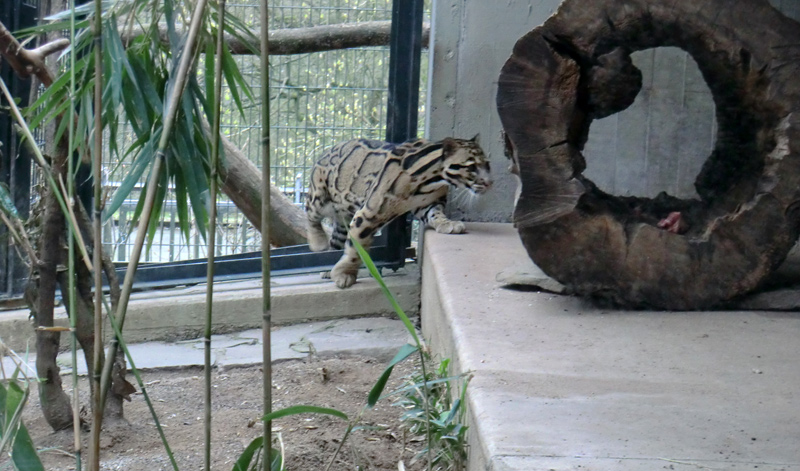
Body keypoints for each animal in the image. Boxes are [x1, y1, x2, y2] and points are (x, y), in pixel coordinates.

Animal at [306, 137, 490, 288]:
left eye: (487, 164)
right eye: (472, 166)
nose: (489, 182)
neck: (432, 180)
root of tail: (329, 148)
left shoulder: (428, 204)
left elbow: (436, 215)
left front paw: (448, 224)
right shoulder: (368, 214)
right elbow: (356, 248)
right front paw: (345, 273)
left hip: (343, 216)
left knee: (336, 239)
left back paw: (326, 266)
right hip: (319, 195)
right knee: (310, 215)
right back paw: (318, 241)